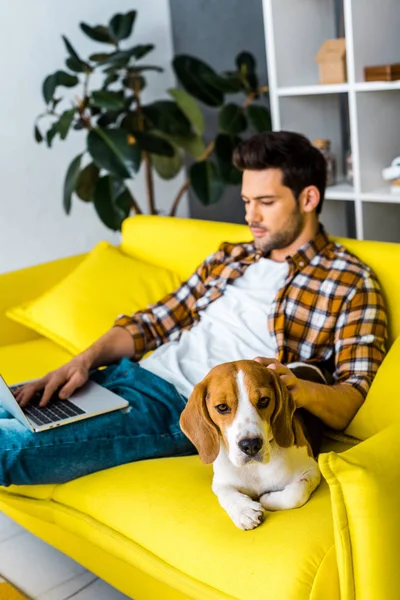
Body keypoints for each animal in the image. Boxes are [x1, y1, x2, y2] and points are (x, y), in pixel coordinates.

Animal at [181, 358, 322, 532]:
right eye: (222, 407)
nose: (251, 445)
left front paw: (267, 498)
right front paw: (244, 510)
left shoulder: (312, 469)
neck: (254, 467)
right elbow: (226, 493)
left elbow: (295, 493)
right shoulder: (220, 481)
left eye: (264, 400)